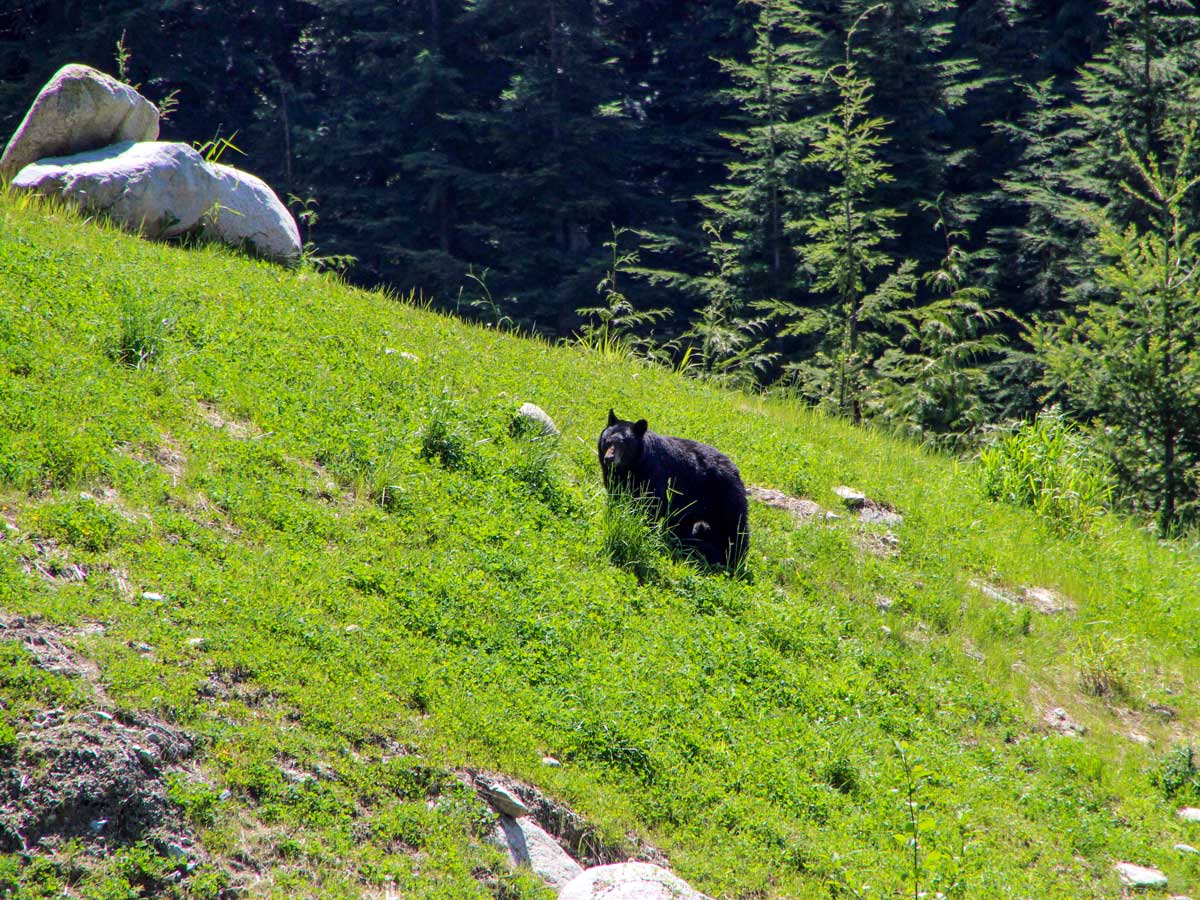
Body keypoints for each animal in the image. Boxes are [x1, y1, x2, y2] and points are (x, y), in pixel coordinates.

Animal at [600, 410, 748, 571]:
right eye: (607, 441)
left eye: (623, 443)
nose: (609, 458)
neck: (629, 468)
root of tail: (736, 470)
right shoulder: (615, 478)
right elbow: (618, 499)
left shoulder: (653, 475)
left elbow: (651, 505)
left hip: (726, 497)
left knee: (735, 528)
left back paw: (733, 561)